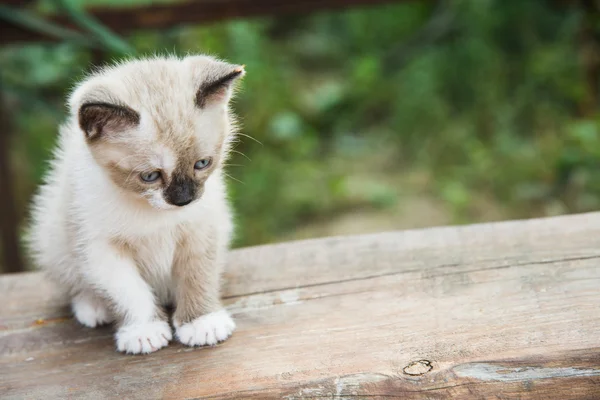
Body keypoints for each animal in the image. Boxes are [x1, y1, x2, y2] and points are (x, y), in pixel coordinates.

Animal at [26, 54, 246, 354]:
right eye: (150, 176)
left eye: (202, 163)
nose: (183, 199)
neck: (152, 212)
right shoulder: (100, 247)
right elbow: (129, 289)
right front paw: (144, 332)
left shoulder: (202, 228)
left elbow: (197, 274)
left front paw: (201, 322)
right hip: (53, 236)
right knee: (73, 281)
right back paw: (92, 306)